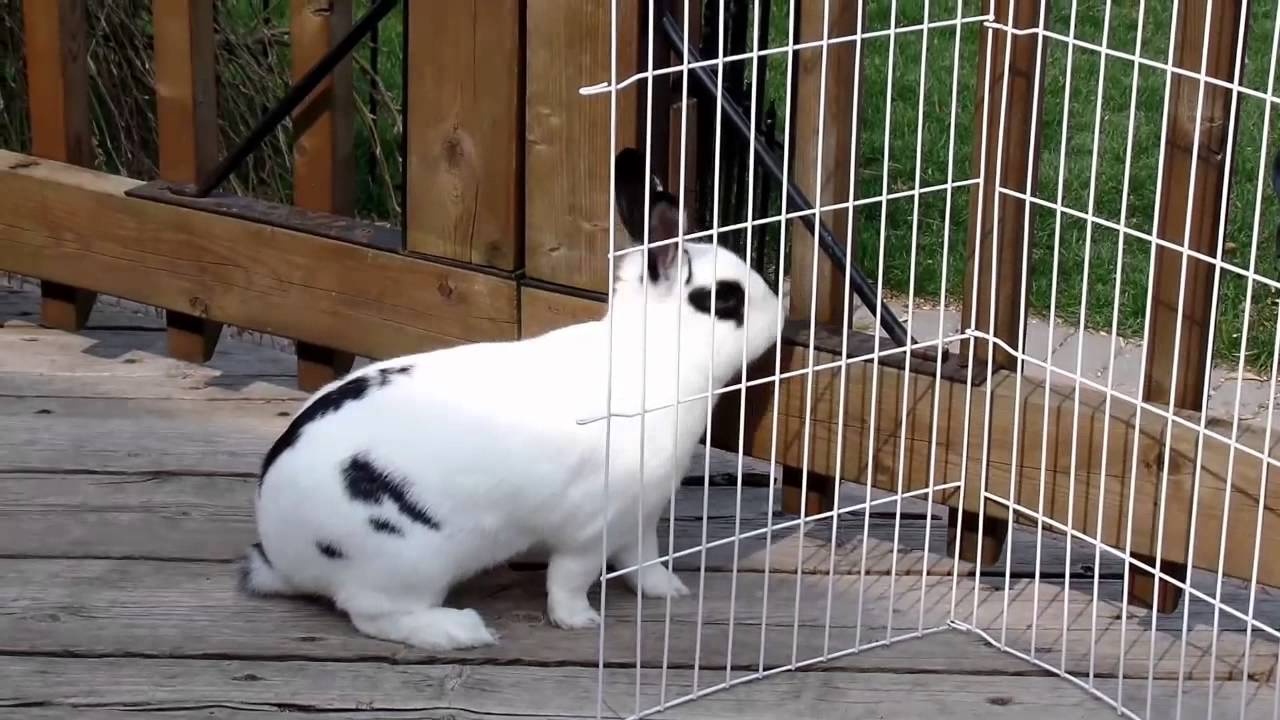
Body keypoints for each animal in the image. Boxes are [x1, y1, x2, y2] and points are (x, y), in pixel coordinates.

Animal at [240, 146, 789, 651]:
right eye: (725, 300)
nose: (783, 311)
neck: (649, 359)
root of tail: (279, 549)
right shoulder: (590, 527)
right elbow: (569, 579)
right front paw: (580, 621)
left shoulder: (640, 515)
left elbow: (643, 561)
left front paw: (668, 591)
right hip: (407, 561)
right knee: (374, 614)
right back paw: (461, 630)